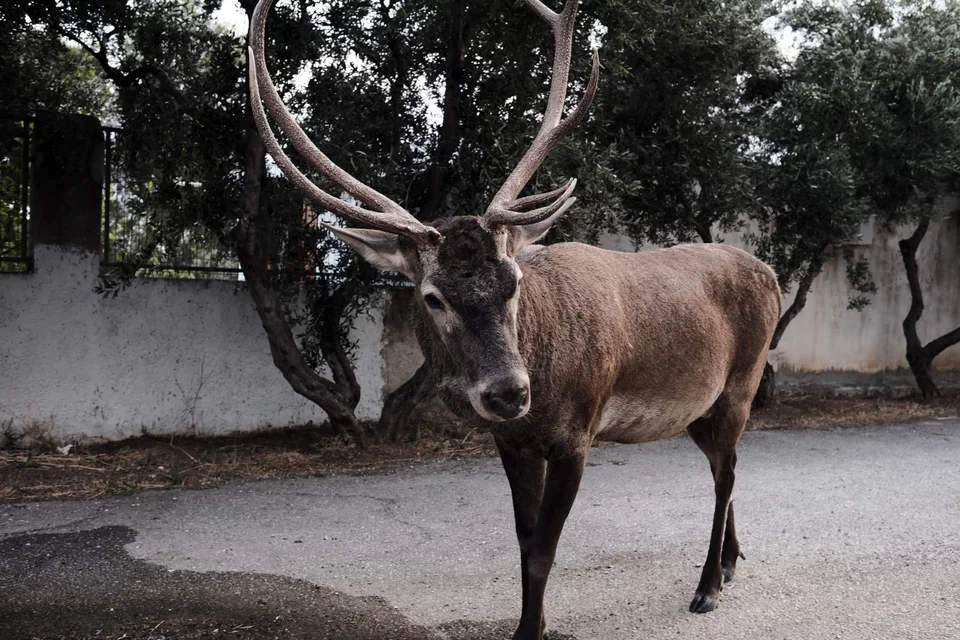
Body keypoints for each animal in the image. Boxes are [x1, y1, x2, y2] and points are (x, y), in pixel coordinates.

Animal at [246, 2, 780, 636]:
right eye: (432, 297)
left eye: (515, 281)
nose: (508, 392)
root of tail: (773, 274)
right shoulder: (512, 442)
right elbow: (524, 543)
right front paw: (533, 622)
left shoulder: (578, 433)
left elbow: (545, 547)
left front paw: (533, 628)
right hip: (700, 405)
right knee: (727, 465)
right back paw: (730, 562)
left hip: (743, 381)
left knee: (726, 473)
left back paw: (706, 587)